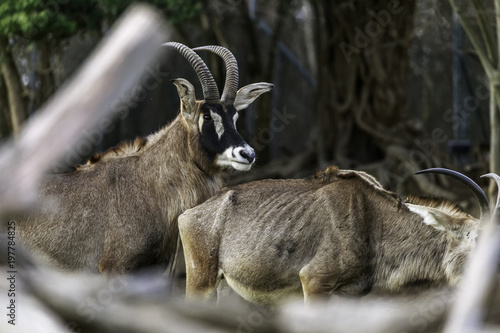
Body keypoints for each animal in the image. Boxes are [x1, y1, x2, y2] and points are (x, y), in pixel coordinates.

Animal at [178, 166, 498, 304]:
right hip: (200, 281)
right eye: (476, 241)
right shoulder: (314, 283)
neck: (373, 220)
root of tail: (189, 214)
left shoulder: (353, 293)